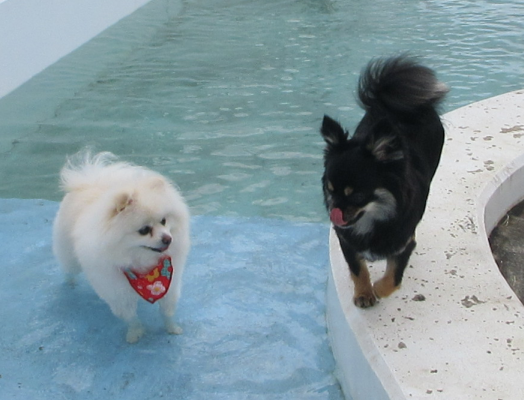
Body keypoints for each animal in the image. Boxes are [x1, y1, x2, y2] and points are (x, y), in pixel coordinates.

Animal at [53, 150, 190, 342]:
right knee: (68, 269)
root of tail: (90, 182)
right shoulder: (117, 291)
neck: (145, 267)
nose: (168, 239)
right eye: (144, 230)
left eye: (164, 221)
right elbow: (130, 317)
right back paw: (69, 282)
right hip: (69, 255)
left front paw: (172, 328)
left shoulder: (171, 285)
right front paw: (135, 333)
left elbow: (167, 312)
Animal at [320, 55, 447, 308]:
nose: (334, 214)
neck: (372, 218)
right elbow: (358, 269)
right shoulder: (347, 242)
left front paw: (378, 289)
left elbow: (393, 279)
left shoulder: (404, 245)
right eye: (330, 190)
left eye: (358, 195)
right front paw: (364, 293)